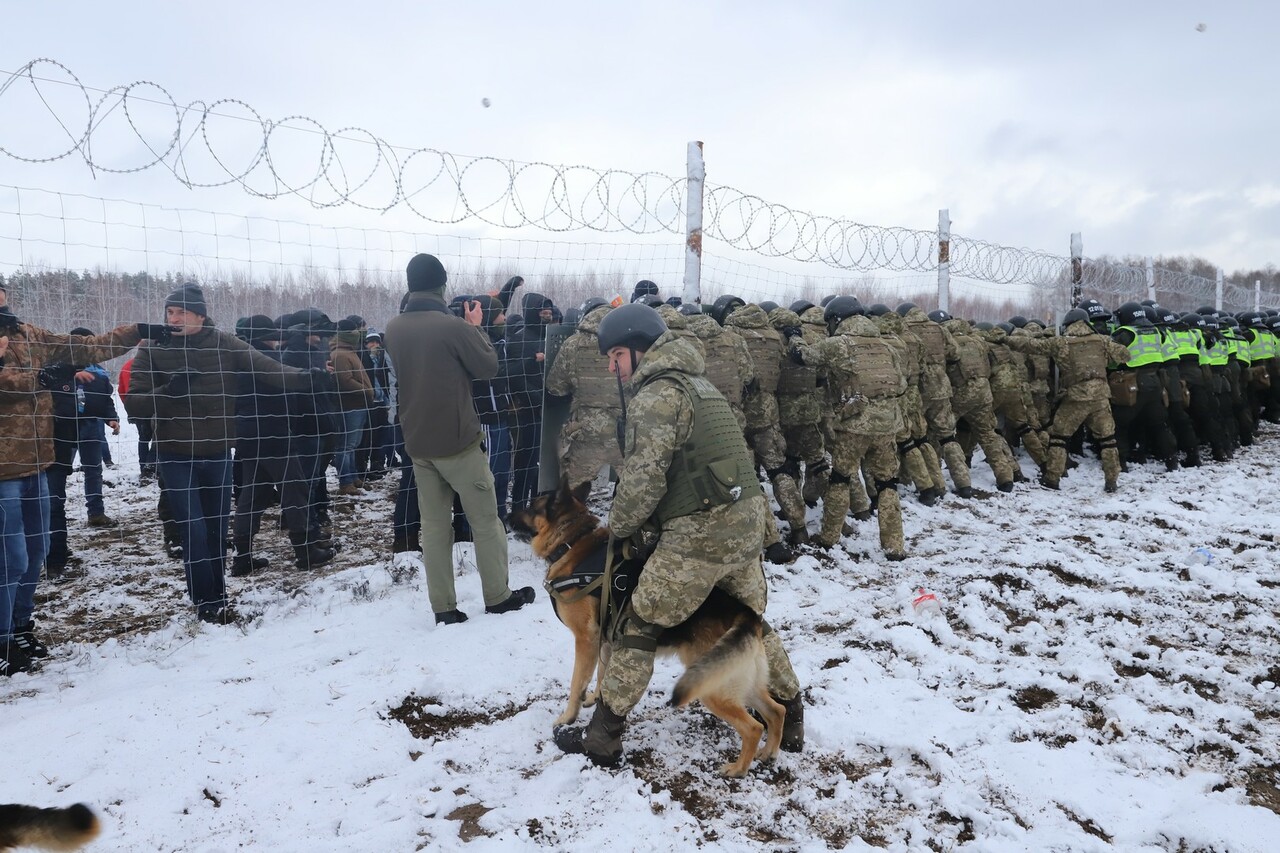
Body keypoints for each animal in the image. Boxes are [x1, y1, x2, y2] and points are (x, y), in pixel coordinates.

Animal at [506, 473, 783, 773]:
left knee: (754, 727)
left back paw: (737, 769)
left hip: (713, 687)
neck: (571, 542)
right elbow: (602, 675)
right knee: (777, 710)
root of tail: (746, 614)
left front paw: (568, 717)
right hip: (739, 679)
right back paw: (770, 752)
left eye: (531, 506)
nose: (506, 516)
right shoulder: (606, 641)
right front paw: (595, 698)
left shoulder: (586, 640)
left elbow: (576, 682)